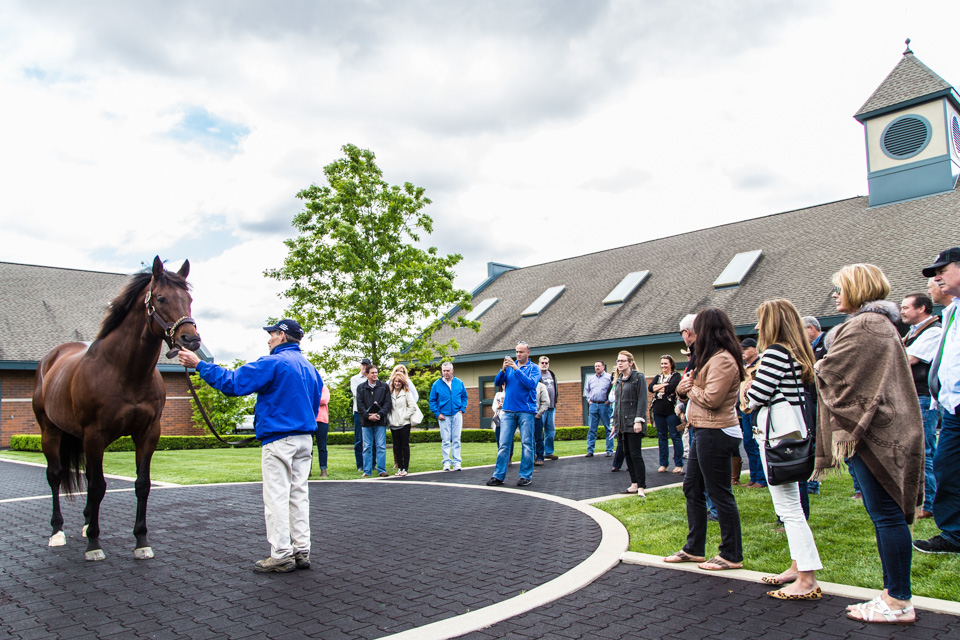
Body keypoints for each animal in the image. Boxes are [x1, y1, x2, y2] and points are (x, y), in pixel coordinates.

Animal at [32, 255, 201, 560]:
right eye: (160, 298)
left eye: (189, 299)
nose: (190, 340)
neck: (123, 370)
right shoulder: (95, 434)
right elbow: (98, 486)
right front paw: (94, 545)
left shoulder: (148, 434)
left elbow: (141, 485)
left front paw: (141, 541)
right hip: (50, 432)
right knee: (55, 476)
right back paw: (57, 532)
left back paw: (87, 524)